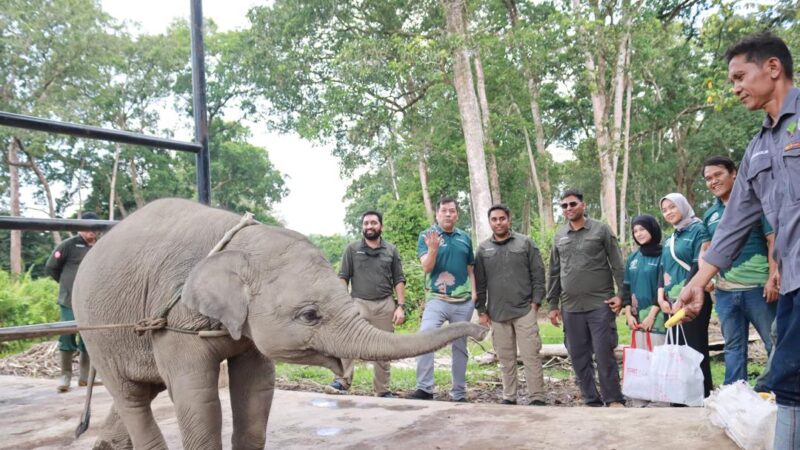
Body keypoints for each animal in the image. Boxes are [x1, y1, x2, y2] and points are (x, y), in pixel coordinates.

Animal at [72, 198, 487, 450]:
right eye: (310, 315)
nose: (481, 330)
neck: (245, 243)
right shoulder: (175, 318)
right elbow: (198, 397)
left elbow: (256, 389)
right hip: (97, 331)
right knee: (132, 397)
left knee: (141, 391)